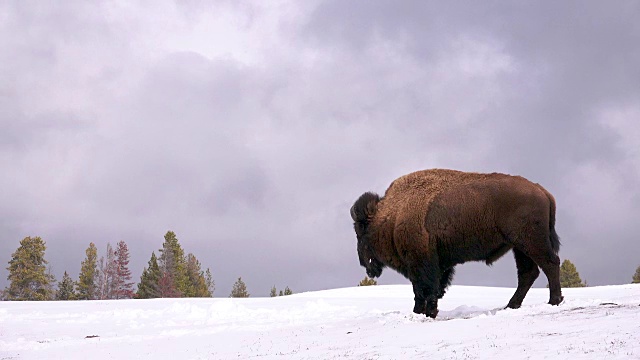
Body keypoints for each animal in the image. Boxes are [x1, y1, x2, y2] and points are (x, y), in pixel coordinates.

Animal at [350, 169, 564, 318]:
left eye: (360, 232)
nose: (363, 263)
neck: (392, 215)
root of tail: (542, 191)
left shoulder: (421, 263)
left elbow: (423, 288)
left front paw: (425, 313)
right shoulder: (437, 264)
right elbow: (431, 288)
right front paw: (423, 312)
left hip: (531, 242)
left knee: (550, 264)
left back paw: (554, 301)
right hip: (519, 247)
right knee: (528, 273)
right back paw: (511, 306)